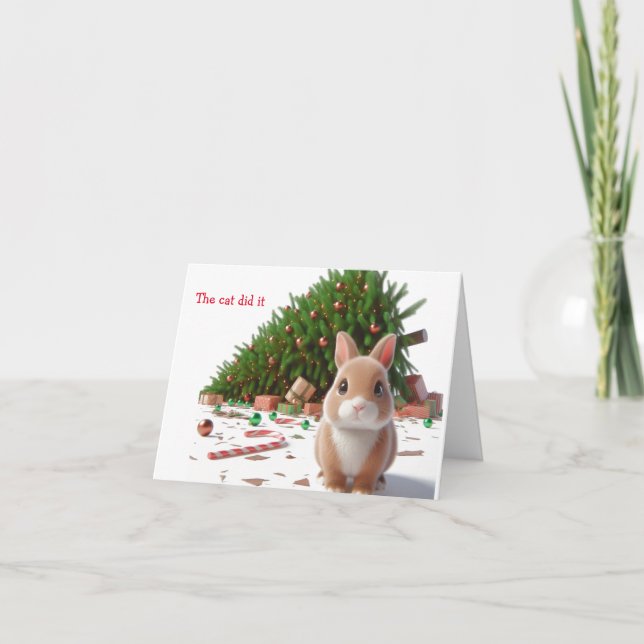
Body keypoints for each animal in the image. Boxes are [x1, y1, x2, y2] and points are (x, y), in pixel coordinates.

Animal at [314, 331, 397, 494]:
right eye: (342, 386)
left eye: (379, 389)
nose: (358, 405)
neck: (356, 429)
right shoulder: (330, 462)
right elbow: (334, 475)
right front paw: (334, 489)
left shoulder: (371, 468)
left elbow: (366, 479)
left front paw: (362, 492)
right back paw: (321, 477)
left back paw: (380, 484)